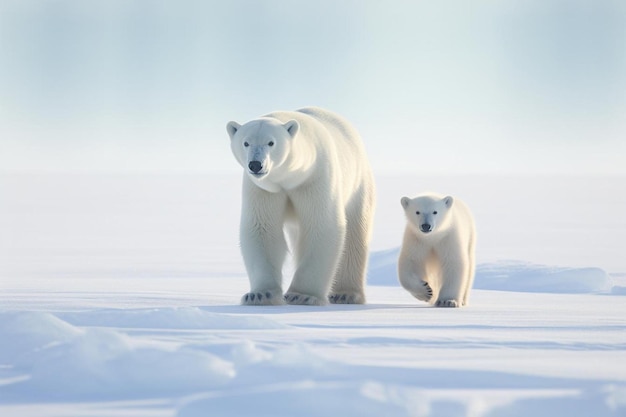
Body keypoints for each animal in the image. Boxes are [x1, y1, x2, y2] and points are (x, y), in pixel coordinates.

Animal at [227, 106, 372, 306]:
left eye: (271, 142)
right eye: (246, 142)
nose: (256, 164)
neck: (288, 177)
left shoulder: (314, 178)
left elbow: (322, 226)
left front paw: (302, 295)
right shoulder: (263, 189)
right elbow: (262, 228)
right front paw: (260, 295)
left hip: (358, 185)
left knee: (354, 235)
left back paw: (346, 294)